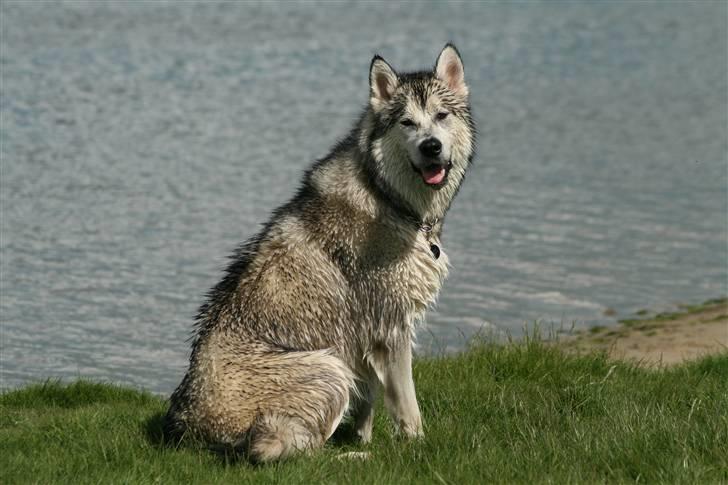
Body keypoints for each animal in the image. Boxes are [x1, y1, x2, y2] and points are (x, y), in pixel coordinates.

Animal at [162, 44, 474, 462]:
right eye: (407, 123)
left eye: (441, 116)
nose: (431, 146)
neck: (385, 195)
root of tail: (188, 434)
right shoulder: (390, 329)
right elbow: (408, 406)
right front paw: (416, 446)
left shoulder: (365, 337)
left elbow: (368, 403)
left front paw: (362, 438)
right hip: (328, 368)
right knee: (293, 454)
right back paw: (352, 460)